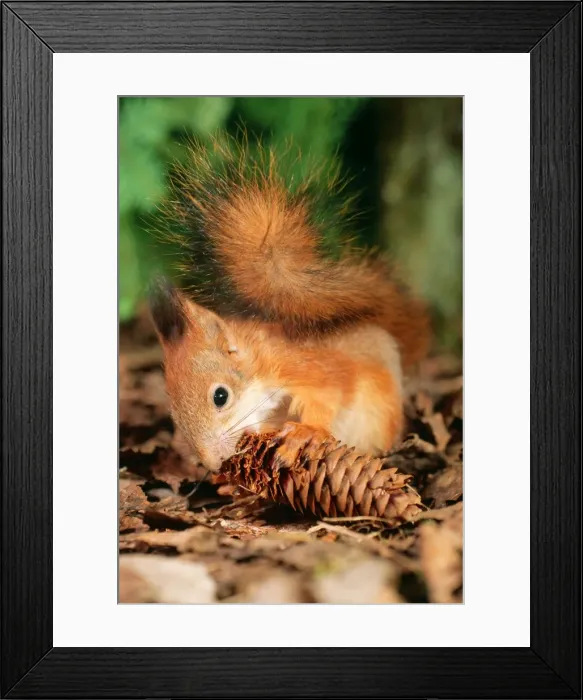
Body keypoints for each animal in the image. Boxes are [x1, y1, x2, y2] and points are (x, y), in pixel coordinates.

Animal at [149, 136, 430, 473]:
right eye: (174, 413)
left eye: (220, 396)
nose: (214, 464)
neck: (261, 367)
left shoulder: (307, 366)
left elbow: (333, 392)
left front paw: (305, 432)